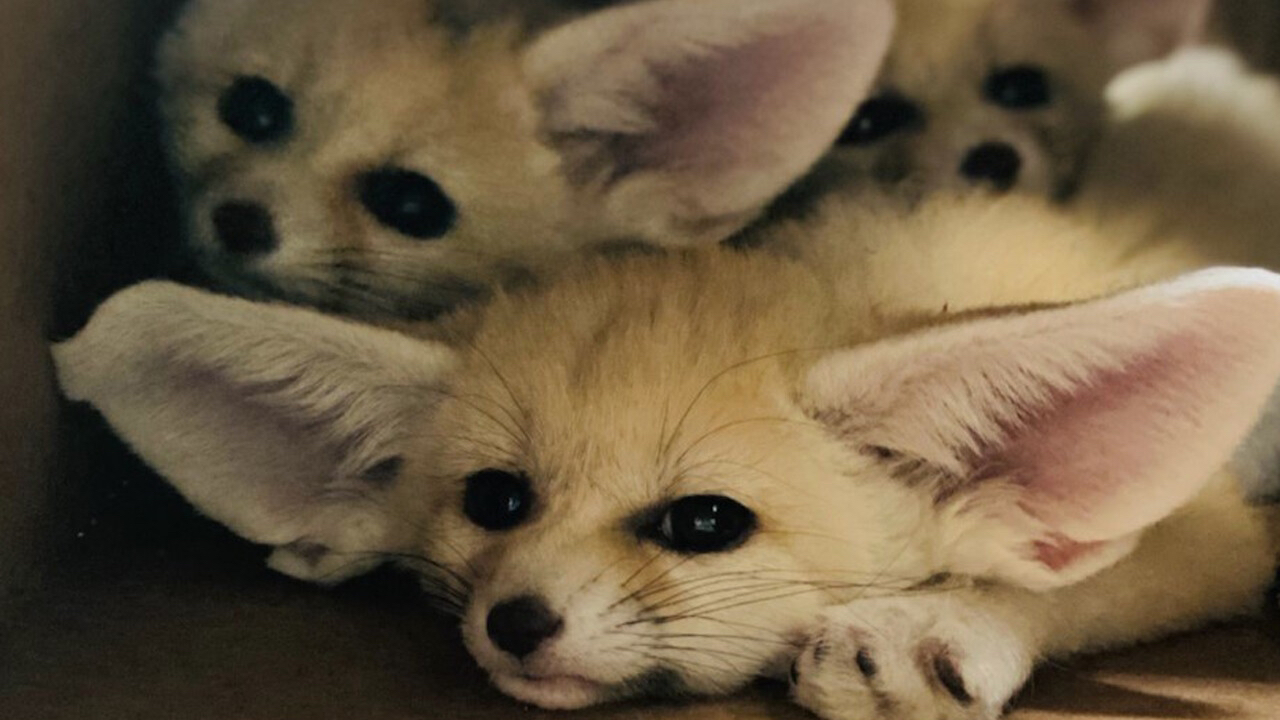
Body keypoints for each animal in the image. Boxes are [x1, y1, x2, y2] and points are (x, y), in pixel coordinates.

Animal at [52, 188, 1280, 719]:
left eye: (704, 523)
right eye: (496, 500)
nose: (516, 622)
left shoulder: (1221, 535)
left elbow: (1084, 581)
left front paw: (938, 621)